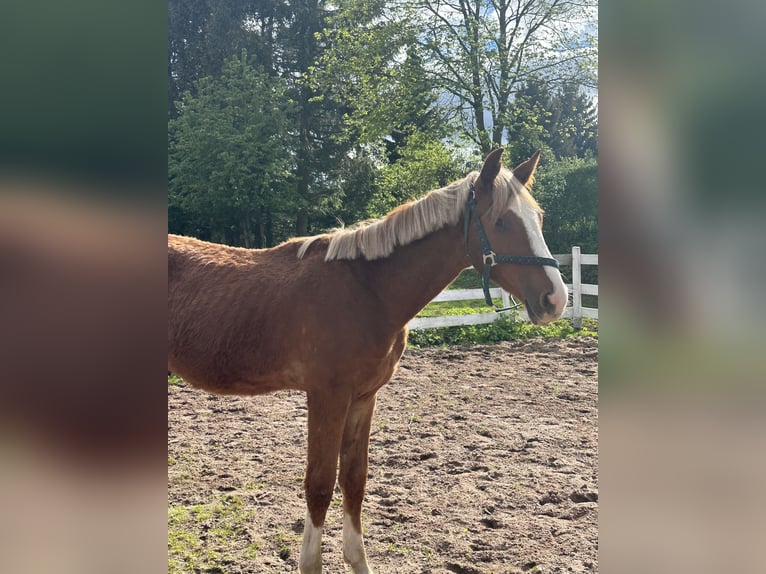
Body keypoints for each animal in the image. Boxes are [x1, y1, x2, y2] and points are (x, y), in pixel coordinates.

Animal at [168, 151, 568, 572]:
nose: (555, 299)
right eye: (502, 221)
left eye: (538, 218)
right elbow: (320, 483)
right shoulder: (327, 397)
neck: (367, 289)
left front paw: (356, 559)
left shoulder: (363, 397)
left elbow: (354, 480)